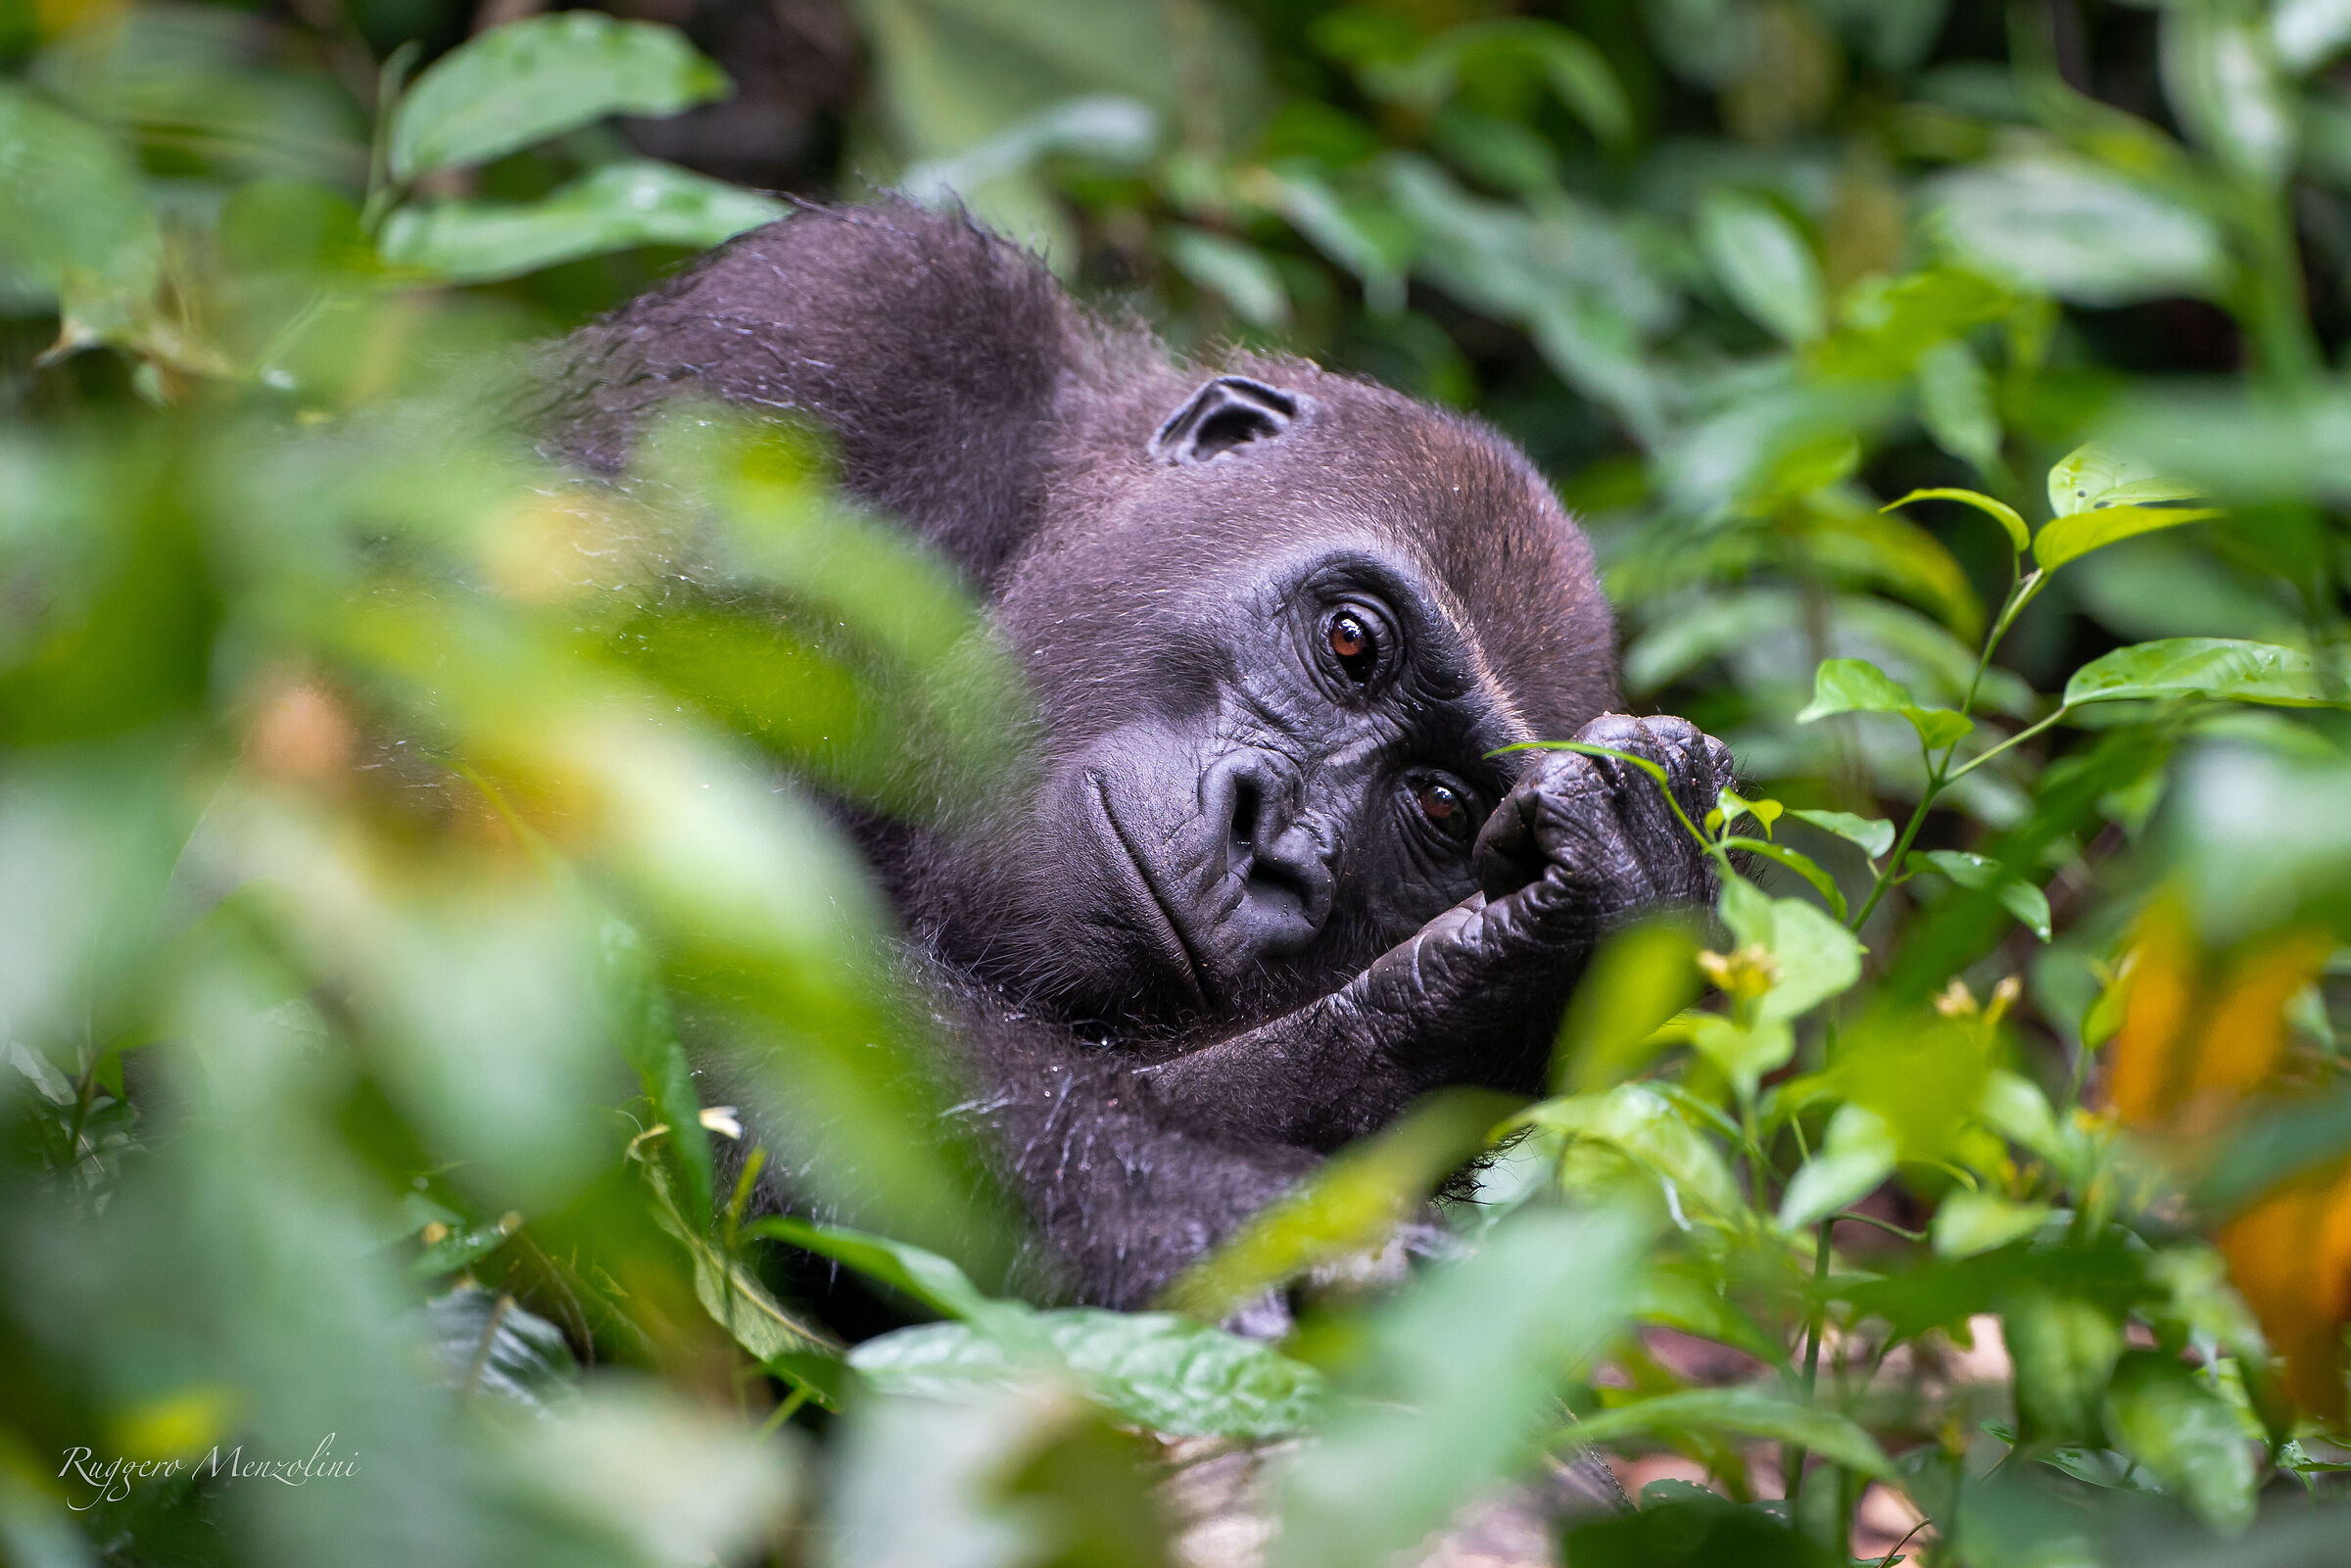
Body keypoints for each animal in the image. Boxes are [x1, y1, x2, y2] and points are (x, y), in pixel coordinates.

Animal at [534, 198, 1732, 1318]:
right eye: (1352, 642)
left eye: (1439, 807)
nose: (1274, 847)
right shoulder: (856, 318)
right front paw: (1206, 1209)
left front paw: (1518, 969)